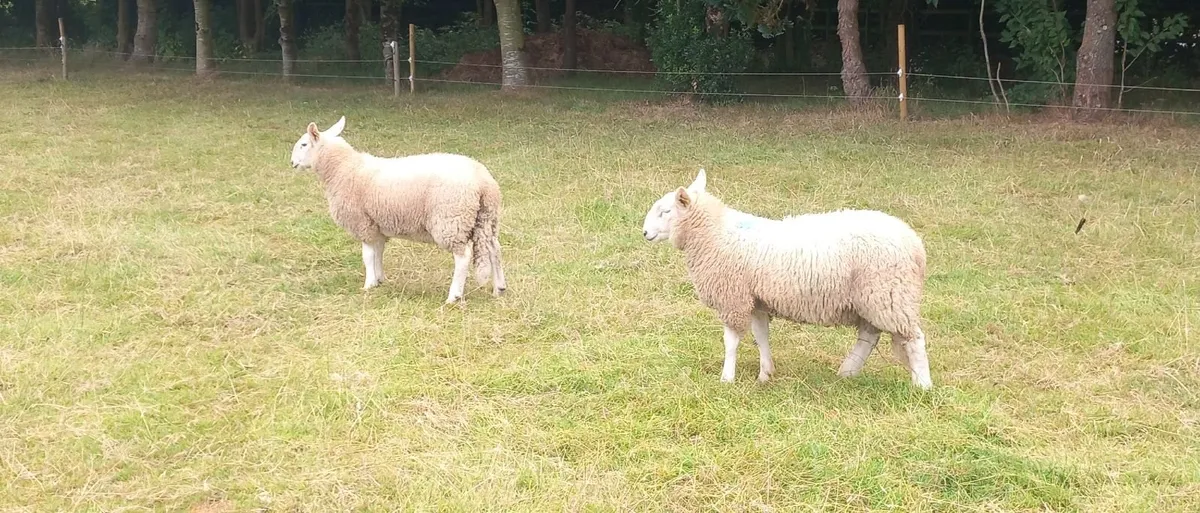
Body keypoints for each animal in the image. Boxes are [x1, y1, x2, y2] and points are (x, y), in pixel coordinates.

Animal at [290, 116, 507, 304]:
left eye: (304, 144)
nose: (292, 163)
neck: (344, 169)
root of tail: (483, 182)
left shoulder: (363, 223)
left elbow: (367, 256)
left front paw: (368, 284)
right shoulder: (376, 224)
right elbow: (378, 252)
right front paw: (379, 280)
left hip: (452, 220)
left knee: (463, 257)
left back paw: (453, 296)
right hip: (487, 219)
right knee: (494, 249)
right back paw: (499, 288)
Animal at [641, 169, 932, 389]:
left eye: (665, 211)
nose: (644, 233)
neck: (715, 234)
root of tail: (915, 244)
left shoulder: (734, 298)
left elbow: (731, 342)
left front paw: (727, 378)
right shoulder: (756, 299)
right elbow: (761, 336)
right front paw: (765, 373)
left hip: (890, 295)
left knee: (914, 339)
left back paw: (922, 385)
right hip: (874, 298)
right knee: (869, 336)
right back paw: (847, 371)